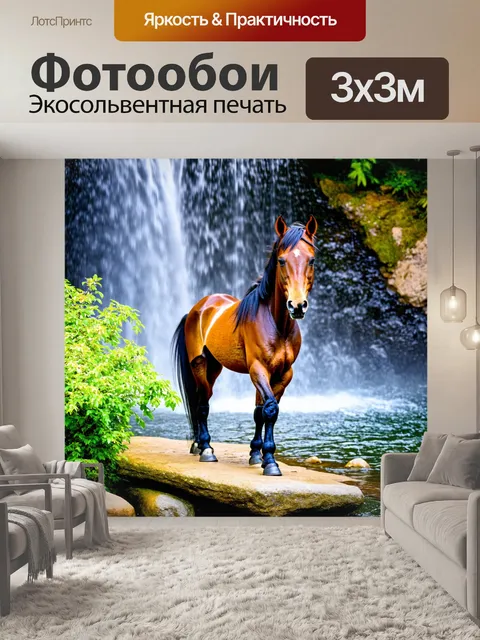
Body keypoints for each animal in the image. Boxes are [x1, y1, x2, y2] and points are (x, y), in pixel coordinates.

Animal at [171, 215, 318, 476]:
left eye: (311, 260)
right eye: (281, 260)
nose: (297, 305)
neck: (276, 324)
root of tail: (198, 308)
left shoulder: (283, 374)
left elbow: (261, 412)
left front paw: (256, 454)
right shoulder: (257, 369)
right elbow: (270, 410)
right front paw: (270, 461)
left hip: (215, 367)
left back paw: (198, 444)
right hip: (199, 364)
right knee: (202, 403)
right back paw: (206, 449)